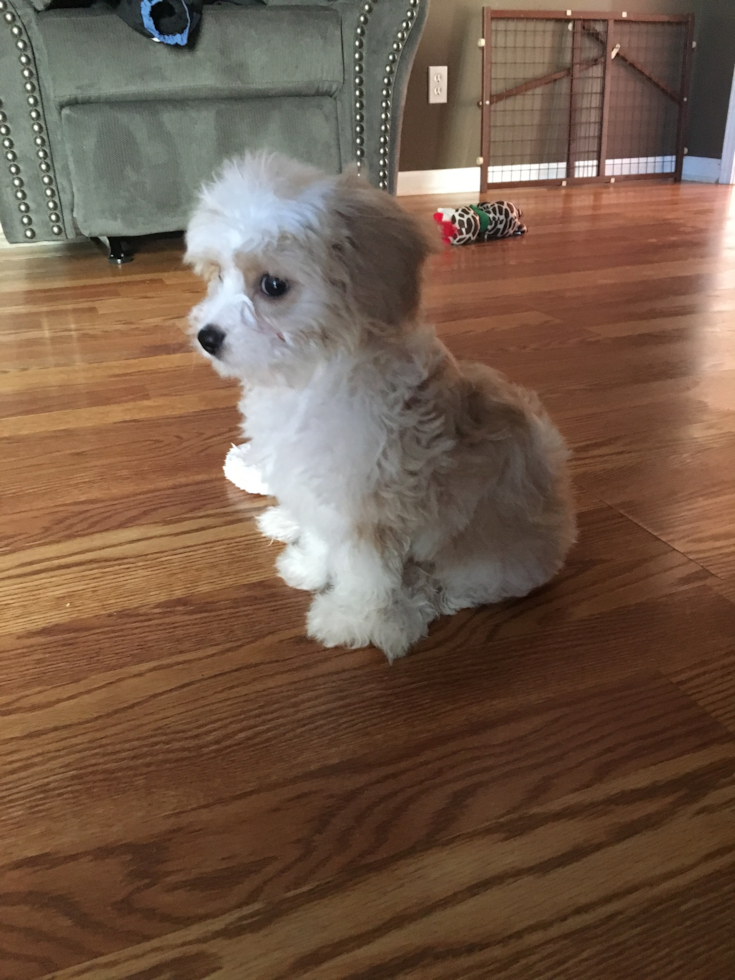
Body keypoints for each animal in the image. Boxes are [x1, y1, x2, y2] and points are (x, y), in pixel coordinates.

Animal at [184, 151, 576, 660]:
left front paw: (351, 619)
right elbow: (321, 534)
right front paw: (309, 565)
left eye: (272, 286)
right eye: (218, 275)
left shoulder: (369, 508)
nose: (207, 337)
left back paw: (416, 604)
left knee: (457, 585)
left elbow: (364, 572)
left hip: (488, 558)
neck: (312, 374)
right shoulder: (318, 484)